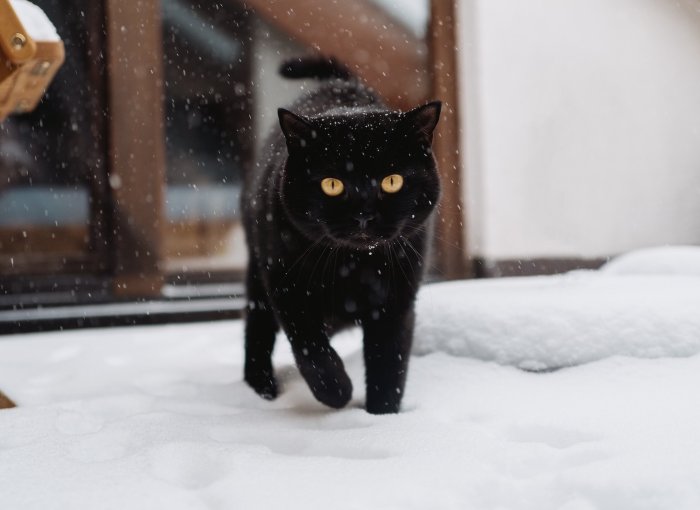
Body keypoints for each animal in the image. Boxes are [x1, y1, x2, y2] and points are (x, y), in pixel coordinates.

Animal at [243, 56, 440, 414]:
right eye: (332, 184)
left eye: (392, 181)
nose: (363, 214)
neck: (354, 267)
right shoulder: (287, 288)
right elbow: (311, 349)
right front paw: (336, 392)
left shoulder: (397, 301)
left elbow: (388, 363)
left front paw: (382, 415)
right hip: (258, 272)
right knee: (258, 328)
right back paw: (261, 387)